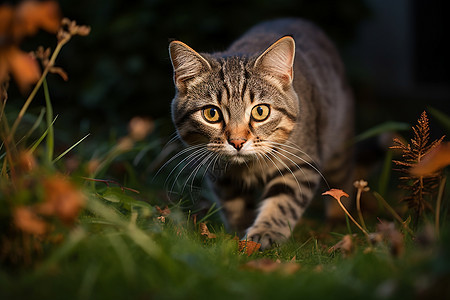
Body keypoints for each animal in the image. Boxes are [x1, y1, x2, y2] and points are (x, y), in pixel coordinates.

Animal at [167, 17, 354, 250]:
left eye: (260, 111)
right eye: (211, 113)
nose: (237, 141)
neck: (249, 167)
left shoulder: (301, 164)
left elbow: (283, 202)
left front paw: (265, 233)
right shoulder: (220, 173)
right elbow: (234, 205)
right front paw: (240, 233)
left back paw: (339, 219)